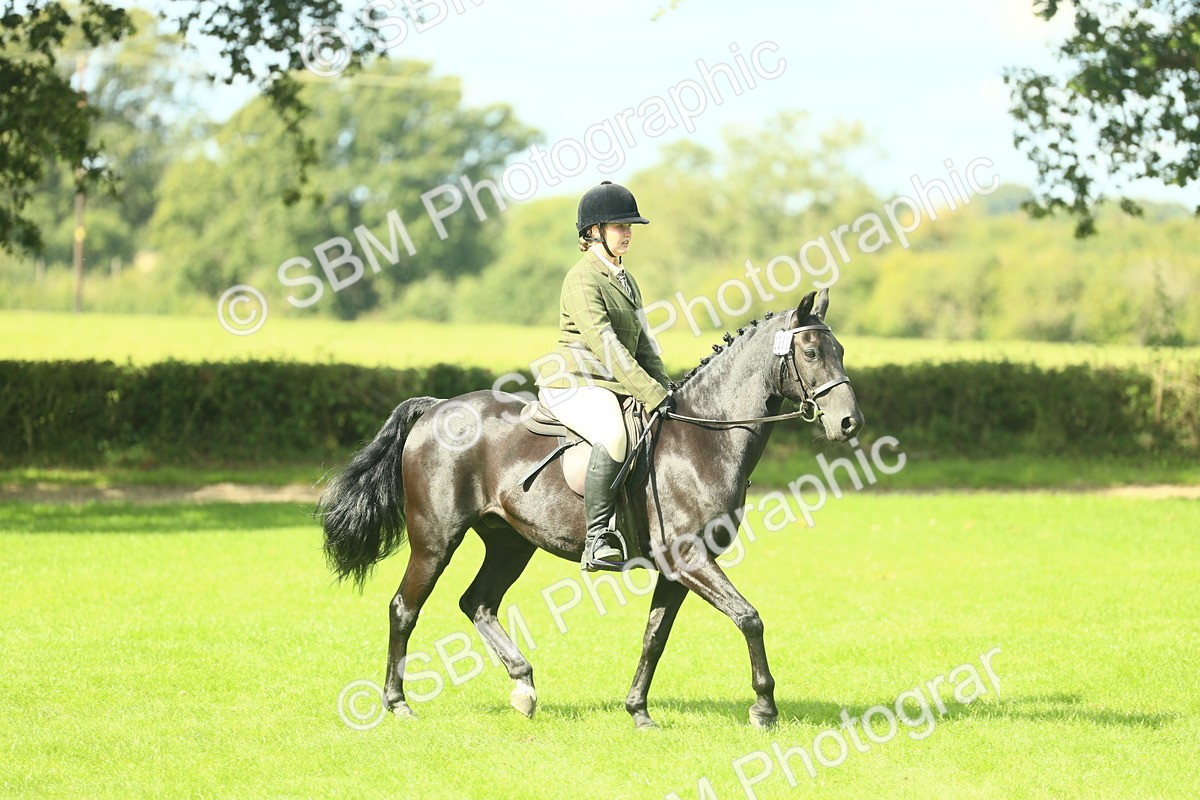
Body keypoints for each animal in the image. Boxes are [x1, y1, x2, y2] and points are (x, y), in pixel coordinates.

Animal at [319, 287, 863, 729]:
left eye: (839, 350)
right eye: (810, 352)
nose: (849, 423)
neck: (705, 437)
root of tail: (434, 408)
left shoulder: (677, 568)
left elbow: (655, 637)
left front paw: (638, 711)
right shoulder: (691, 559)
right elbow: (749, 618)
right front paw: (764, 709)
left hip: (510, 542)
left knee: (477, 602)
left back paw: (524, 687)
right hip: (435, 541)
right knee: (405, 608)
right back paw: (398, 703)